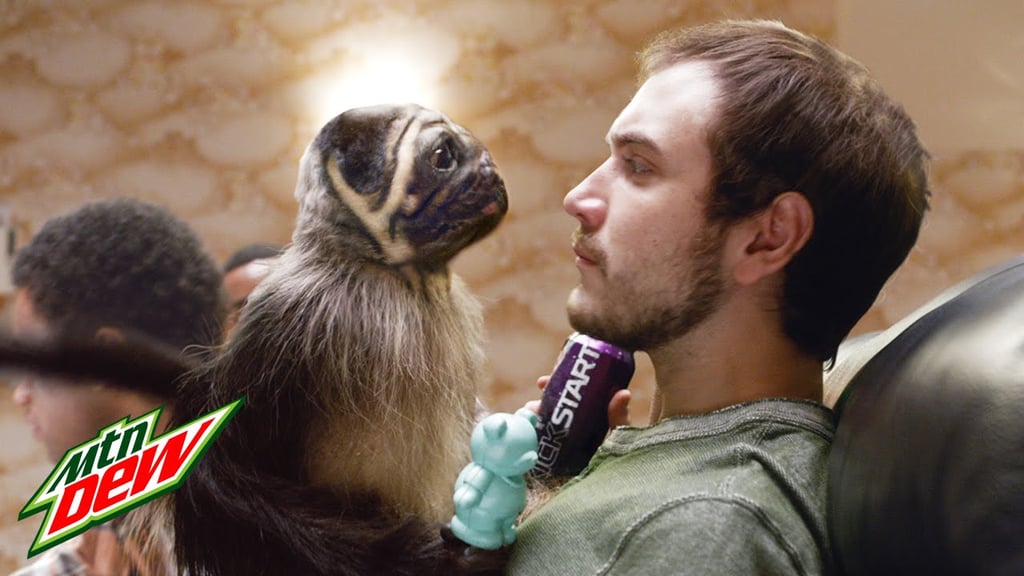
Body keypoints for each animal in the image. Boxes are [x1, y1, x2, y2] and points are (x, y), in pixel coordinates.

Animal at [1, 103, 511, 576]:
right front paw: (416, 558)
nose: (489, 166)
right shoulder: (291, 322)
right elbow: (211, 474)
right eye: (443, 156)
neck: (396, 279)